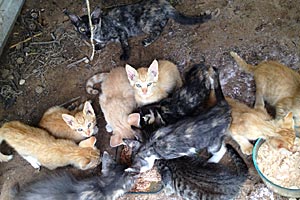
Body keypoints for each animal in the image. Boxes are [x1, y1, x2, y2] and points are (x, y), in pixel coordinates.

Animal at [64, 0, 219, 60]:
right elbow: (102, 43)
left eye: (92, 26)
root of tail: (165, 3)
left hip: (144, 22)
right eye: (82, 28)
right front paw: (98, 46)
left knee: (159, 29)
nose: (88, 34)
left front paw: (125, 55)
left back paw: (148, 40)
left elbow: (124, 44)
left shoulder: (121, 32)